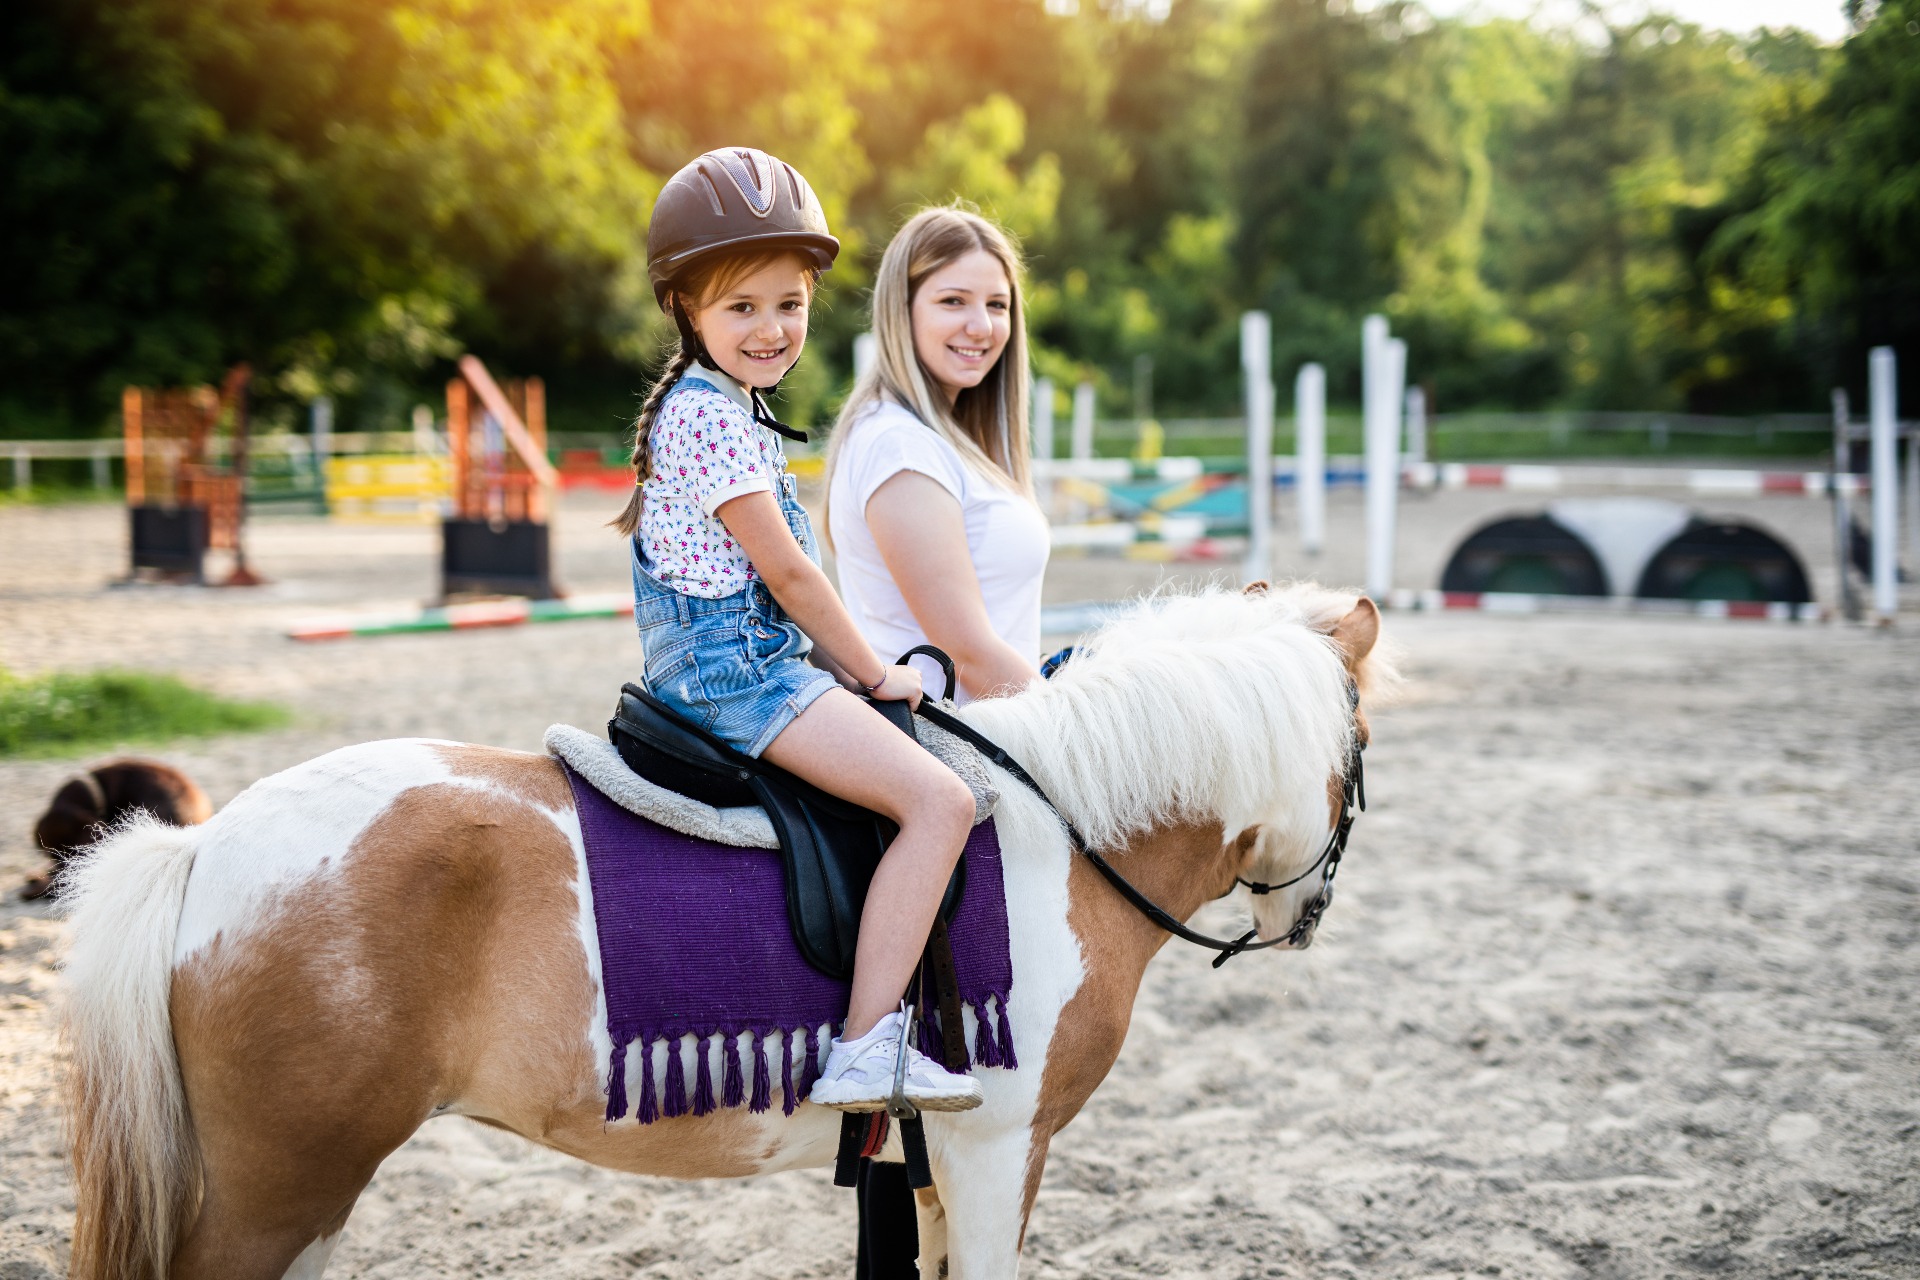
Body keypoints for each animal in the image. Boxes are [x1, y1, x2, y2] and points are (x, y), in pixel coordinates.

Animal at [59, 582, 1391, 1280]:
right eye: (1362, 751)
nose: (1305, 914)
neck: (1060, 825)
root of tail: (203, 849)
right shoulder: (998, 1143)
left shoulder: (939, 1162)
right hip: (276, 1189)